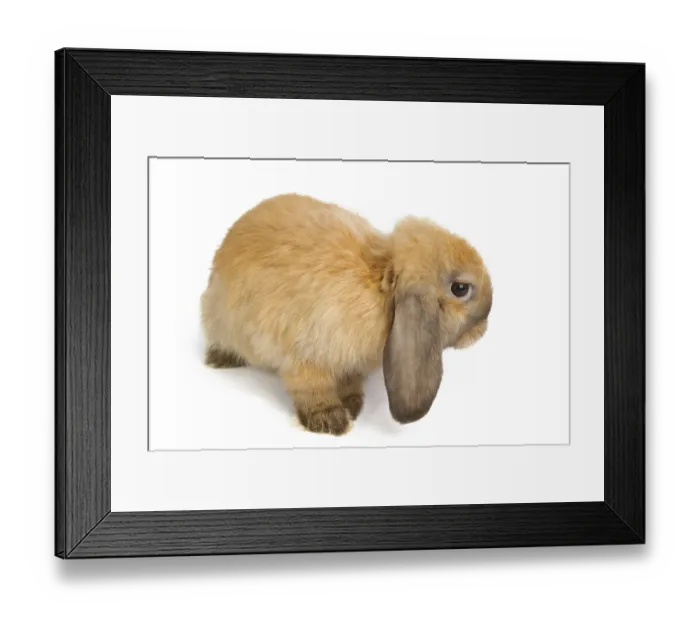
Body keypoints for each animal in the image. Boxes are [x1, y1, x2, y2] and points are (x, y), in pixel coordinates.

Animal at [200, 193, 493, 436]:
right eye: (460, 289)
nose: (482, 330)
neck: (381, 284)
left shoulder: (349, 365)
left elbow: (349, 381)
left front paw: (353, 403)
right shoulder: (306, 357)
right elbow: (313, 390)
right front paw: (331, 422)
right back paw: (220, 358)